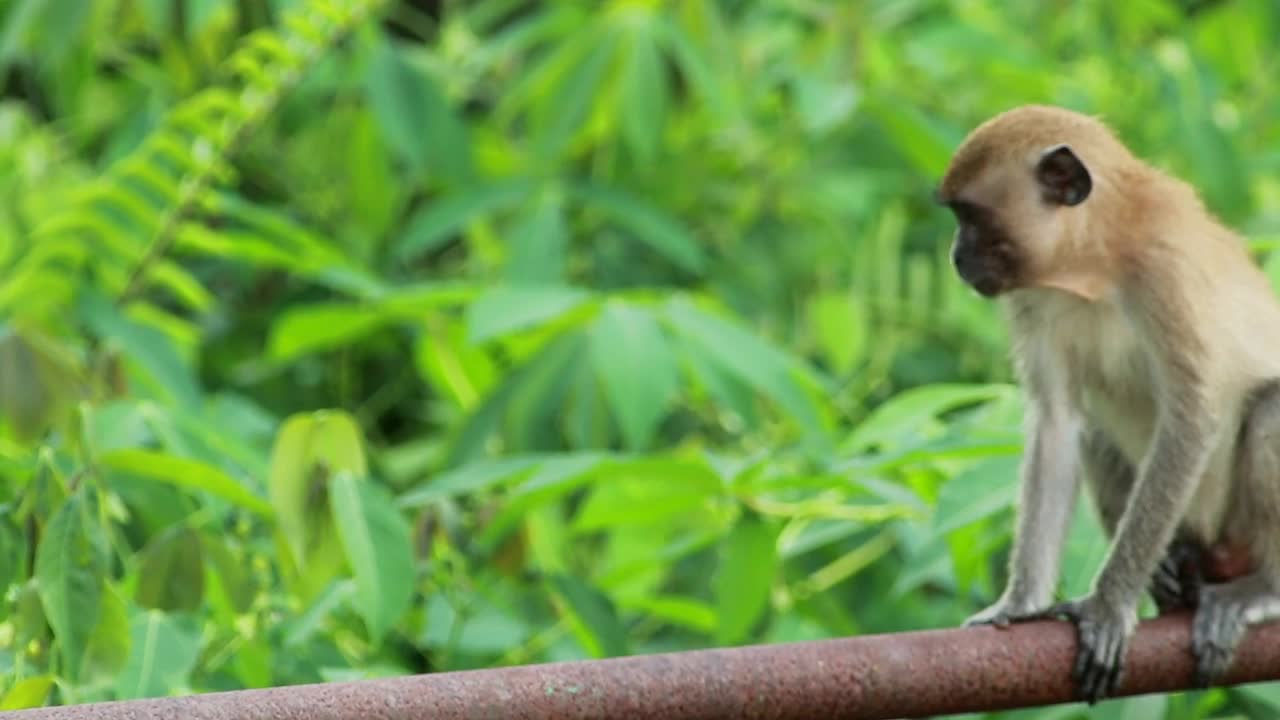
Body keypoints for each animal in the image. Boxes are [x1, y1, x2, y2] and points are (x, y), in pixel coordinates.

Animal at [934, 104, 1280, 704]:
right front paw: (1020, 604)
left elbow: (1191, 421)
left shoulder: (1165, 268)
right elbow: (1056, 424)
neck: (1095, 264)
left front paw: (1108, 605)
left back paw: (1264, 589)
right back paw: (1172, 569)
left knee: (1267, 414)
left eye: (971, 216)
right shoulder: (1037, 298)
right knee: (1093, 429)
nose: (956, 257)